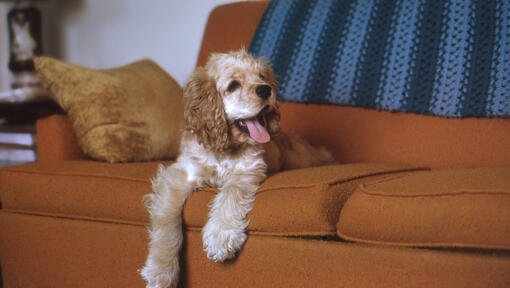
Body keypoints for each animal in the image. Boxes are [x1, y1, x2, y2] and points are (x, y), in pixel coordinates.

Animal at [140, 50, 334, 288]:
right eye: (233, 85)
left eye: (262, 77)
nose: (265, 89)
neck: (224, 148)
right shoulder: (180, 175)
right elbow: (167, 222)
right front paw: (161, 272)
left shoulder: (247, 170)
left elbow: (229, 195)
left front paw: (220, 238)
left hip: (300, 156)